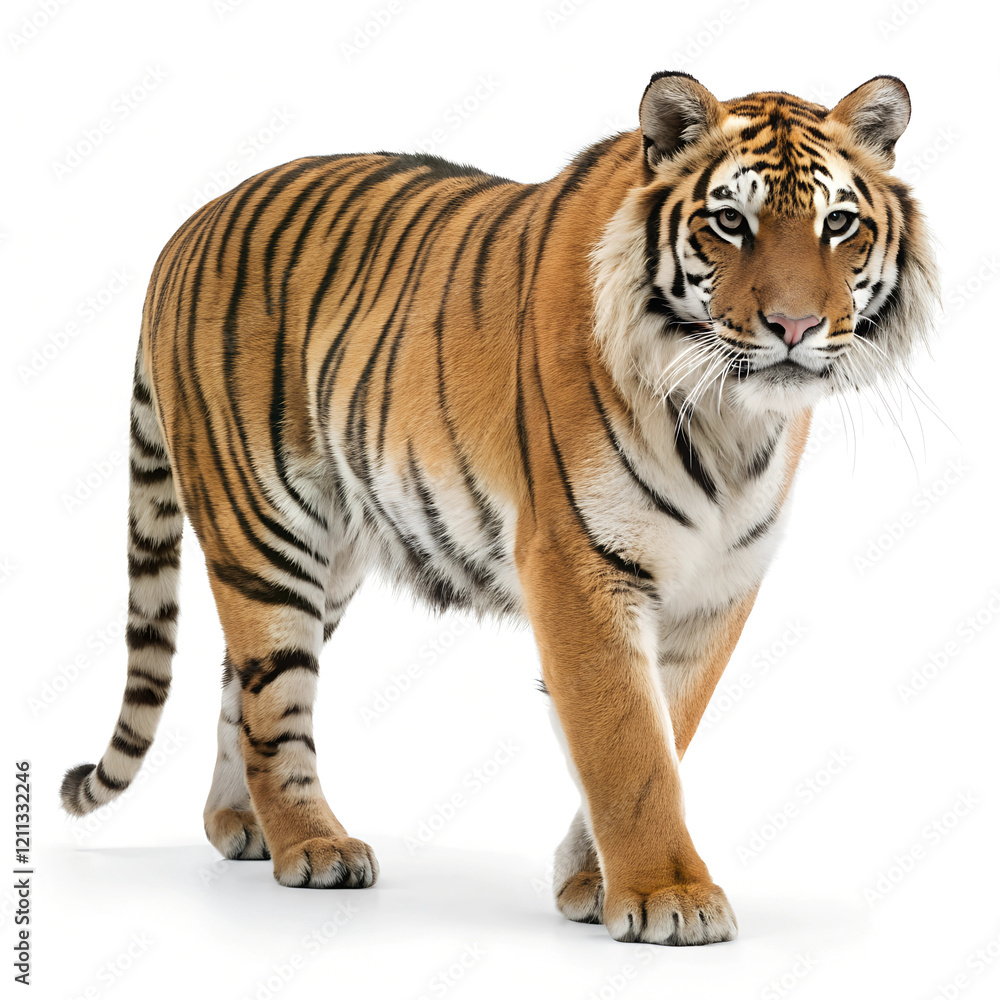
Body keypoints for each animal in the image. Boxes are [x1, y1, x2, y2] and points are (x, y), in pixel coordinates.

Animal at [60, 71, 938, 946]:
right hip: (266, 533)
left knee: (238, 685)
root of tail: (187, 227)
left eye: (838, 225)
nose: (795, 326)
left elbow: (667, 730)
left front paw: (592, 882)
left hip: (329, 559)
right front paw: (669, 894)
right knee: (274, 702)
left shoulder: (719, 587)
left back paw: (241, 827)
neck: (731, 419)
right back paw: (312, 845)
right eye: (730, 222)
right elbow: (629, 747)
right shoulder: (579, 564)